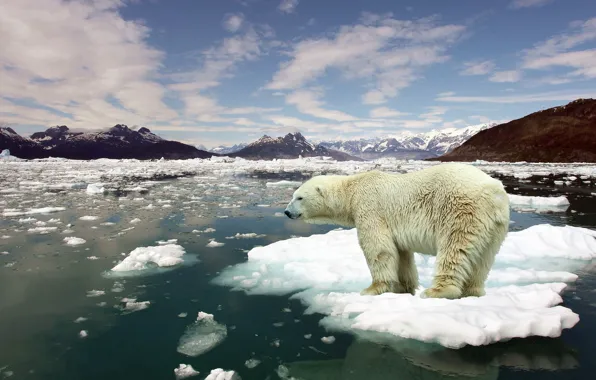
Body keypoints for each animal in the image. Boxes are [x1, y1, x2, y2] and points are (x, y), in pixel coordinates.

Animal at [282, 163, 508, 300]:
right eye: (293, 196)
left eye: (299, 197)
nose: (286, 212)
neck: (352, 190)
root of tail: (494, 192)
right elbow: (402, 254)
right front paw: (403, 288)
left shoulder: (370, 208)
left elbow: (378, 249)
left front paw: (372, 289)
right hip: (495, 227)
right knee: (483, 259)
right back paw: (473, 291)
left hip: (460, 211)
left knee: (454, 249)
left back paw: (437, 291)